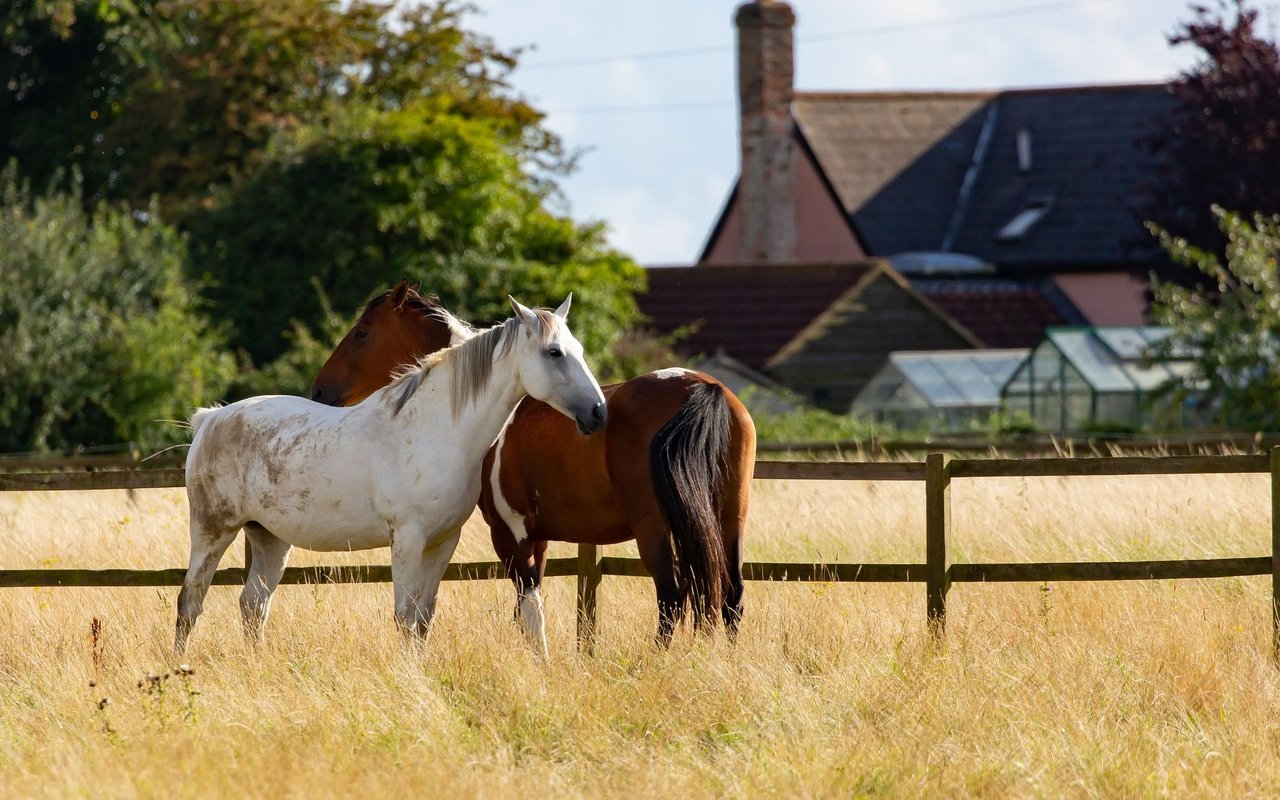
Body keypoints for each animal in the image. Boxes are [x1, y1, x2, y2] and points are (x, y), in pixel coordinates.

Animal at [176, 296, 606, 654]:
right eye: (554, 352)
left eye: (580, 351)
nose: (598, 412)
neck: (436, 430)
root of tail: (212, 418)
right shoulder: (408, 540)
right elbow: (404, 617)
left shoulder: (443, 542)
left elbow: (423, 619)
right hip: (212, 532)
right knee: (190, 602)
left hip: (270, 539)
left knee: (253, 604)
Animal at [311, 285, 756, 652]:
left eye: (362, 332)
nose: (319, 389)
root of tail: (702, 387)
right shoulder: (537, 537)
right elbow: (528, 610)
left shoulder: (509, 534)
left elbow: (528, 607)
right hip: (729, 519)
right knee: (730, 595)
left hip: (655, 528)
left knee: (671, 595)